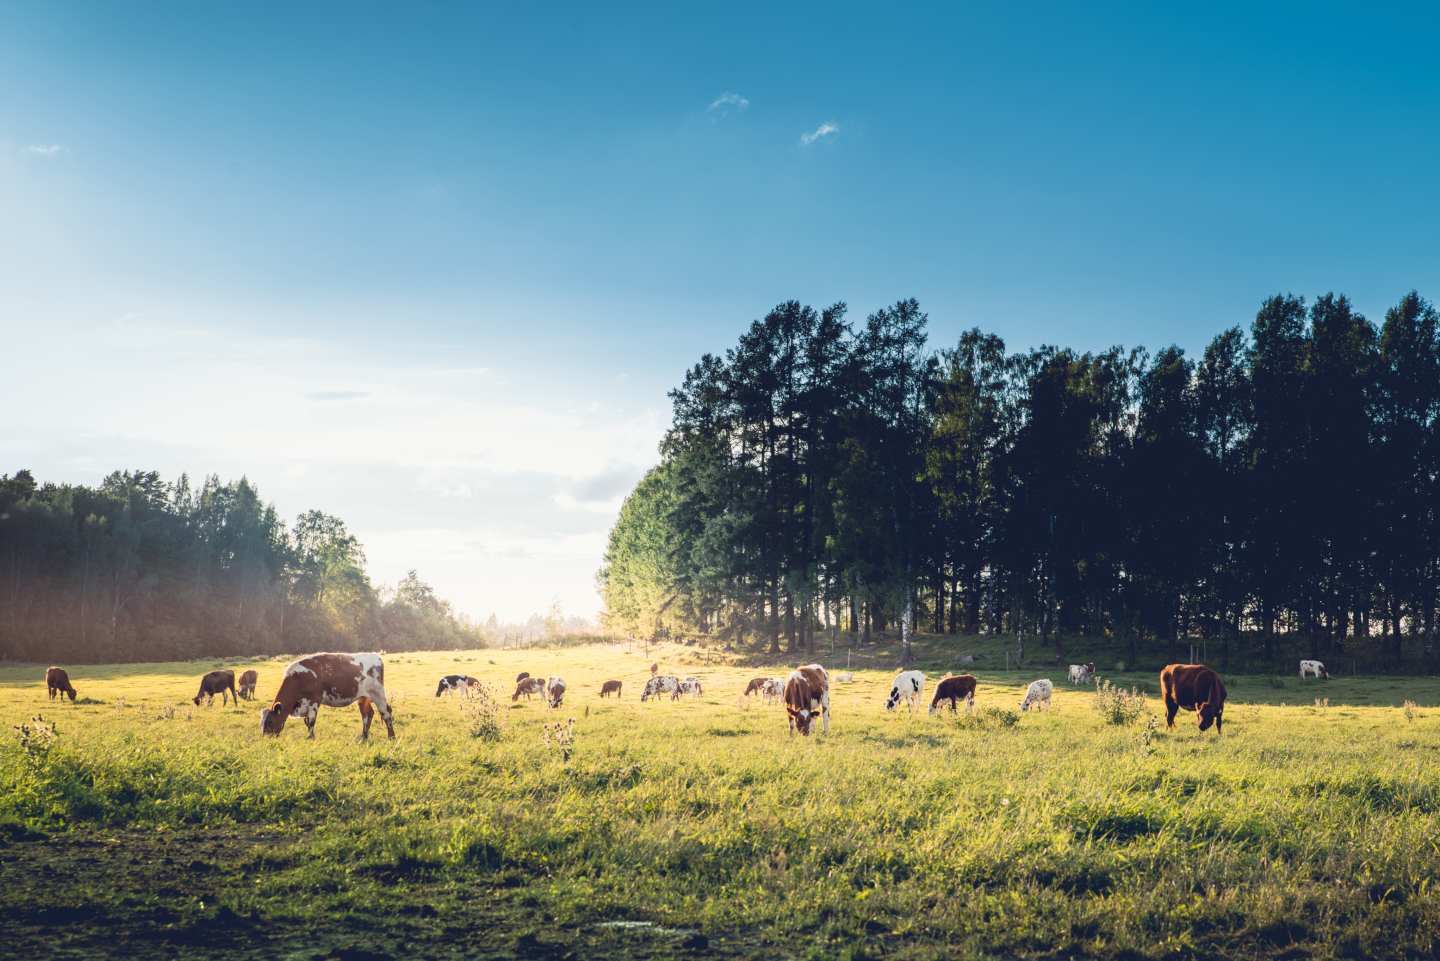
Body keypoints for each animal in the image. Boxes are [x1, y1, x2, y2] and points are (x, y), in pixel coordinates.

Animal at [262, 654, 397, 743]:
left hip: (378, 694)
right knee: (367, 714)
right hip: (363, 698)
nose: (265, 738)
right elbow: (307, 721)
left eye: (270, 721)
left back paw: (391, 737)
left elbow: (311, 721)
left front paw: (310, 738)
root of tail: (376, 656)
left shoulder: (314, 701)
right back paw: (363, 737)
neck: (297, 678)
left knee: (386, 714)